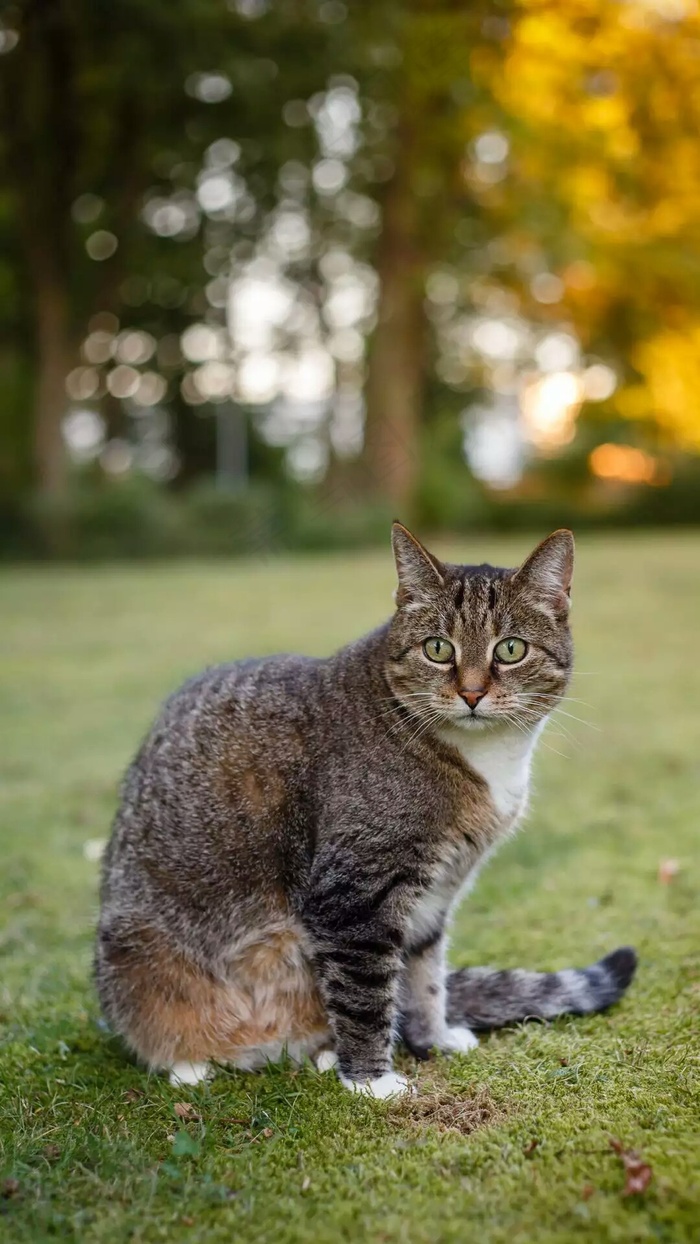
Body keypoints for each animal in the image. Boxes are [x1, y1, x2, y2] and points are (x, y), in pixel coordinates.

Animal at [95, 524, 636, 1099]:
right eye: (438, 649)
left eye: (510, 650)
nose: (471, 692)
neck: (482, 756)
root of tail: (263, 1048)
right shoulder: (353, 894)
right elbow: (365, 994)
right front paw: (372, 1082)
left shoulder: (434, 895)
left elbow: (424, 977)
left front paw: (431, 1039)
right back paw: (192, 1063)